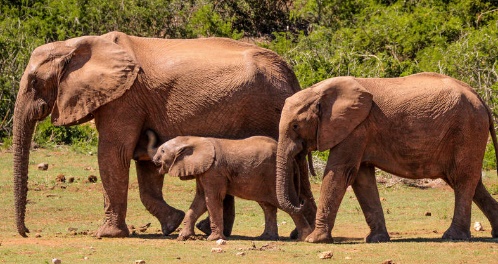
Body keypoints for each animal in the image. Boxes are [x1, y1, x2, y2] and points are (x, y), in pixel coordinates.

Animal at [146, 131, 316, 240]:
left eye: (162, 150)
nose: (155, 160)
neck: (194, 140)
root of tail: (291, 160)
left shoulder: (213, 170)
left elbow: (212, 198)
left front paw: (213, 239)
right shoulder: (204, 170)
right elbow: (200, 200)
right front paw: (183, 237)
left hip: (277, 176)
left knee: (289, 203)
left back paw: (304, 237)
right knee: (267, 206)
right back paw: (267, 237)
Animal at [276, 72, 498, 243]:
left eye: (295, 126)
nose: (300, 202)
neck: (319, 91)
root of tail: (481, 99)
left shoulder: (357, 128)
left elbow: (340, 173)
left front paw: (313, 240)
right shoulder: (360, 131)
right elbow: (362, 179)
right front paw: (376, 239)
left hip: (467, 129)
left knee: (462, 180)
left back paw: (452, 236)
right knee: (470, 183)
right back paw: (494, 233)